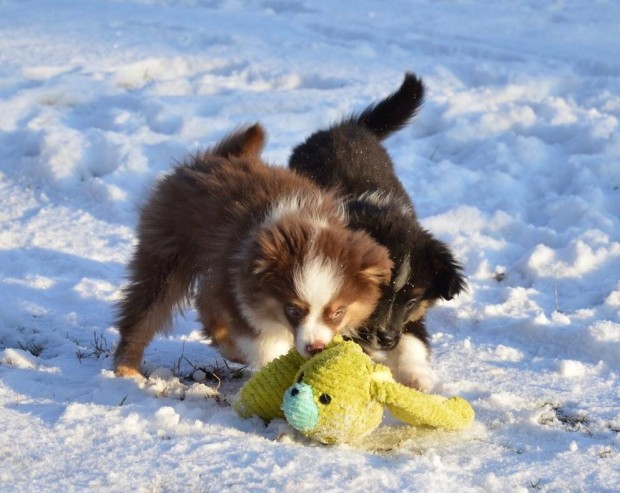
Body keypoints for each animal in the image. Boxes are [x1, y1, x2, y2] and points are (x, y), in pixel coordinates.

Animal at [112, 123, 392, 376]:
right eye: (293, 310)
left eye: (338, 312)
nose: (316, 348)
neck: (302, 224)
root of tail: (212, 158)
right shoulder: (242, 289)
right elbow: (264, 345)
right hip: (168, 251)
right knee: (144, 312)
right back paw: (127, 369)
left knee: (205, 300)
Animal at [290, 72, 464, 388]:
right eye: (376, 295)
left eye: (412, 300)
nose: (386, 339)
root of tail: (347, 128)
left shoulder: (411, 315)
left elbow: (414, 340)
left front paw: (416, 377)